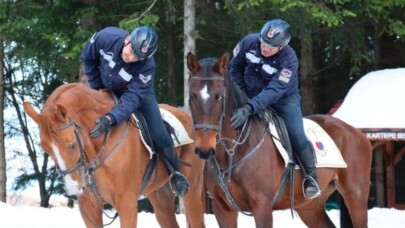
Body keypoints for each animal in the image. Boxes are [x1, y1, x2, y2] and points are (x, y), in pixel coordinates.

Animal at [22, 83, 205, 228]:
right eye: (46, 149)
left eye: (72, 145)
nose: (73, 190)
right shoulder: (89, 208)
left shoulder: (127, 203)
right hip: (160, 197)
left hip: (192, 192)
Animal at [186, 53, 370, 228]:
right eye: (192, 96)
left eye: (219, 97)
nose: (204, 149)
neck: (234, 151)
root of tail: (355, 131)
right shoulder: (223, 209)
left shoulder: (262, 207)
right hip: (309, 208)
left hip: (355, 197)